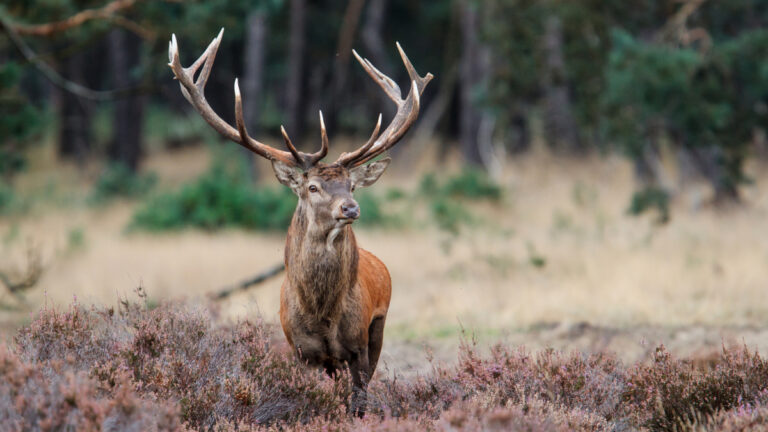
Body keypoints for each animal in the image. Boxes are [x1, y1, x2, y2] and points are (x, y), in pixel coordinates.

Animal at [167, 29, 432, 414]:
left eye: (352, 185)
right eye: (312, 186)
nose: (350, 208)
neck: (321, 313)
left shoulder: (357, 347)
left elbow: (358, 402)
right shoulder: (301, 352)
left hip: (378, 328)